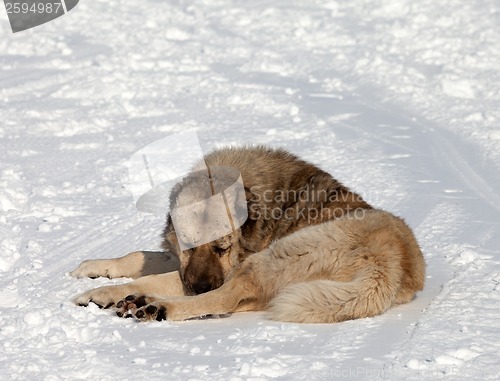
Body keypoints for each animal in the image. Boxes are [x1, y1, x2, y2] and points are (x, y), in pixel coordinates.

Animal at [71, 145, 426, 320]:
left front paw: (102, 292)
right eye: (190, 246)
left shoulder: (226, 268)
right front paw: (94, 267)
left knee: (226, 297)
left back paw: (155, 306)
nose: (199, 287)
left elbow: (152, 278)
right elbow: (141, 257)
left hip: (279, 255)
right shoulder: (183, 263)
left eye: (222, 248)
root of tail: (391, 267)